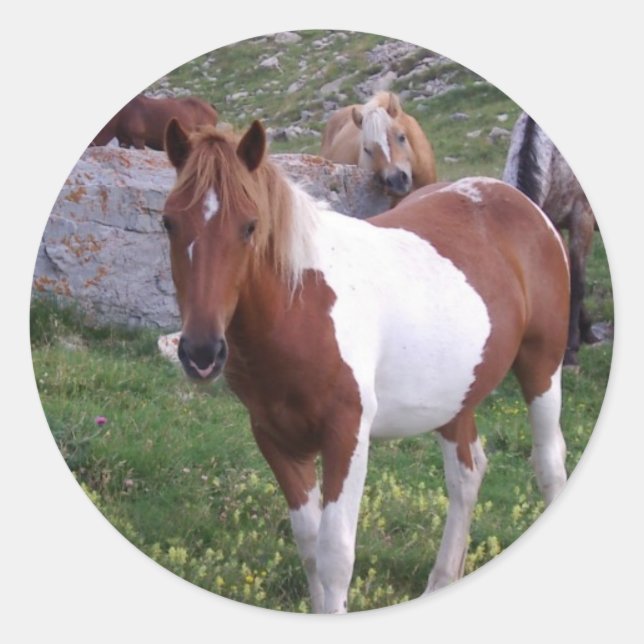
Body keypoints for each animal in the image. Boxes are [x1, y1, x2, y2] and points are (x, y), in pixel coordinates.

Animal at [161, 118, 570, 613]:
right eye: (168, 221)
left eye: (249, 225)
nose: (201, 353)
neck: (301, 305)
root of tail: (518, 200)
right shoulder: (276, 438)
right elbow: (309, 545)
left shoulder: (347, 433)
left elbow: (335, 553)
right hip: (455, 397)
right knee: (467, 476)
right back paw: (441, 581)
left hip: (542, 366)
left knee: (548, 463)